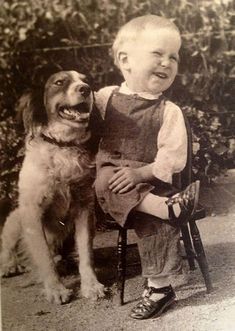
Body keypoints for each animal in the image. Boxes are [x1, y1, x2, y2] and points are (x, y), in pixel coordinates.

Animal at [0, 71, 104, 304]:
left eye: (86, 80)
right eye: (59, 82)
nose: (85, 89)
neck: (62, 146)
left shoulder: (84, 209)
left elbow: (86, 253)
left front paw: (91, 285)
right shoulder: (32, 212)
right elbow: (43, 256)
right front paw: (56, 289)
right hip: (15, 219)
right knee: (8, 247)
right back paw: (10, 264)